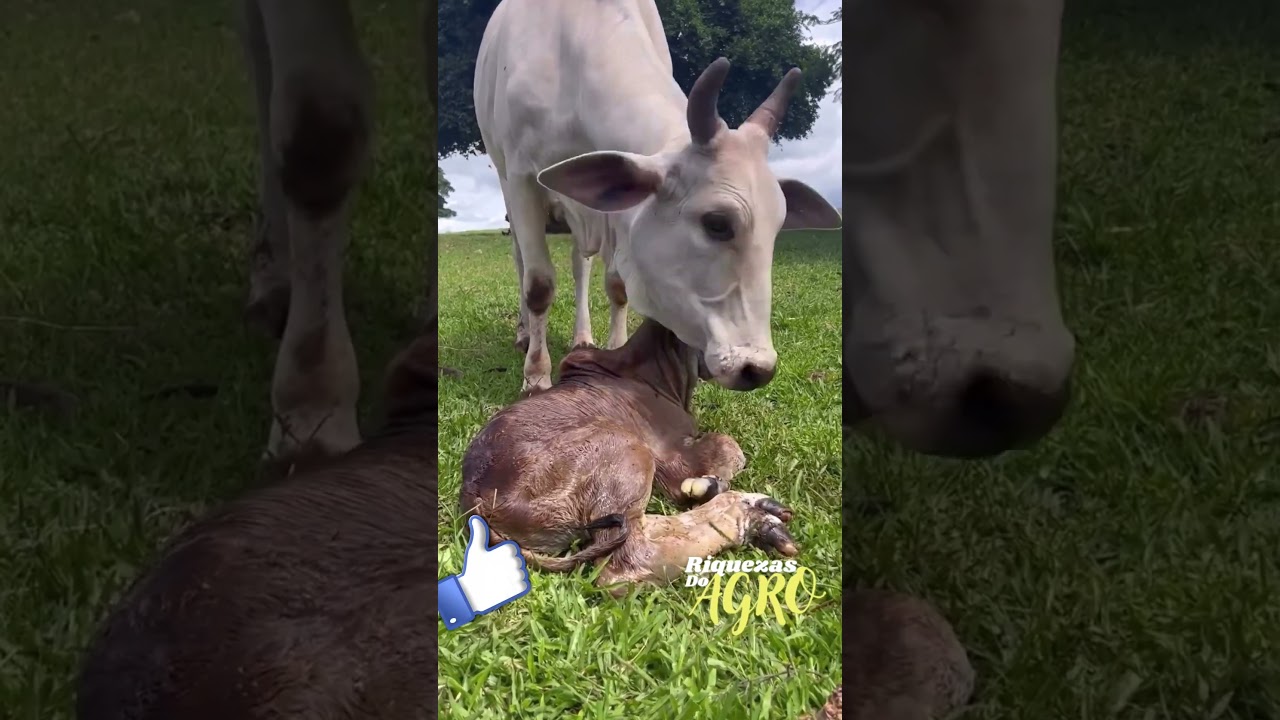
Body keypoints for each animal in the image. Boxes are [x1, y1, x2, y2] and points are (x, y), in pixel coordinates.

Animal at [459, 316, 799, 594]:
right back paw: (747, 513)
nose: (757, 370)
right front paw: (706, 484)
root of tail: (475, 498)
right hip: (625, 445)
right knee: (626, 563)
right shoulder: (671, 457)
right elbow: (729, 447)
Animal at [473, 0, 844, 396]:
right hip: (508, 186)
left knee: (579, 265)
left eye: (778, 227)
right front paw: (536, 376)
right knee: (522, 262)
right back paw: (525, 334)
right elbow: (539, 285)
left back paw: (582, 335)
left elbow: (617, 286)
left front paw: (615, 349)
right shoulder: (522, 178)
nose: (757, 368)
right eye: (716, 223)